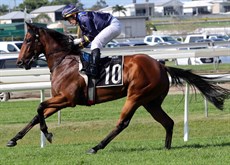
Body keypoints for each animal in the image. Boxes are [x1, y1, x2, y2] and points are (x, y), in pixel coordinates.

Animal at [7, 22, 230, 154]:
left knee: (122, 123)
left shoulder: (68, 99)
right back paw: (167, 148)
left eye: (28, 39)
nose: (19, 62)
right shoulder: (60, 100)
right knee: (168, 122)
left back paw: (96, 147)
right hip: (151, 102)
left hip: (136, 96)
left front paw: (48, 134)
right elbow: (37, 115)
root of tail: (161, 65)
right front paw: (13, 140)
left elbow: (39, 107)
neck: (64, 61)